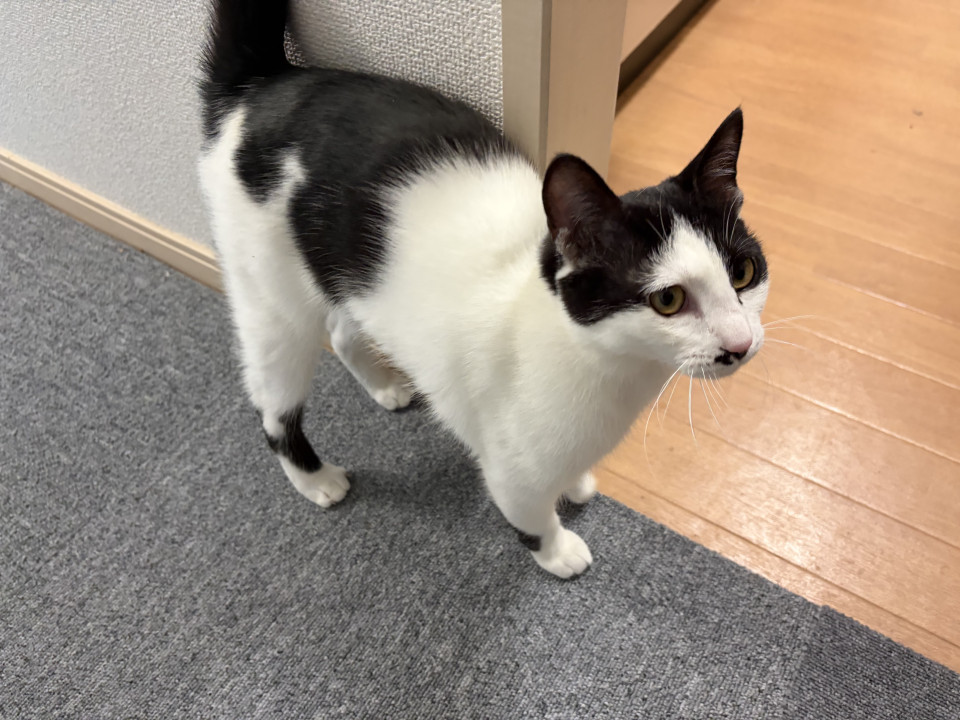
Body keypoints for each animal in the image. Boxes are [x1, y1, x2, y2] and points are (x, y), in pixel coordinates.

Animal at [198, 0, 769, 578]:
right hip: (270, 291)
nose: (740, 344)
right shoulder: (512, 465)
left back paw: (385, 386)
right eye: (668, 300)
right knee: (273, 402)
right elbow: (528, 510)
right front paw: (557, 550)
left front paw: (576, 484)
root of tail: (265, 84)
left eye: (743, 273)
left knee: (340, 330)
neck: (606, 365)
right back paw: (315, 479)